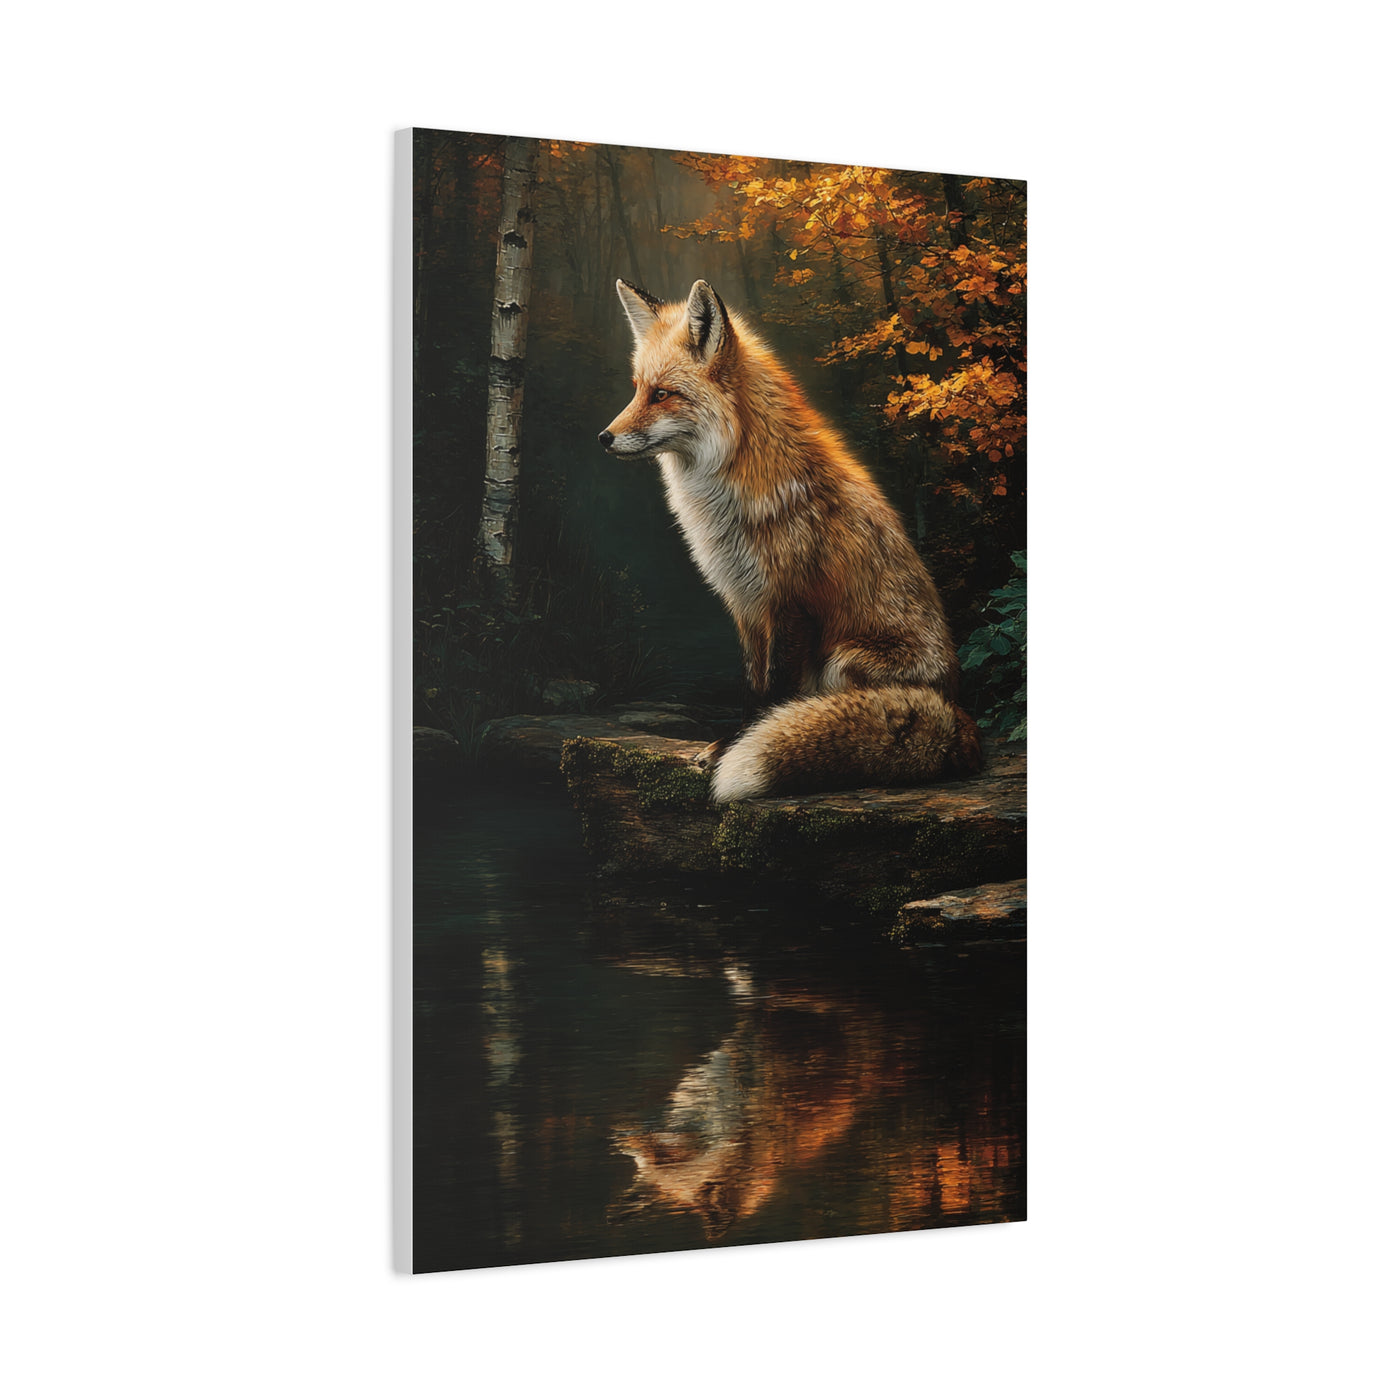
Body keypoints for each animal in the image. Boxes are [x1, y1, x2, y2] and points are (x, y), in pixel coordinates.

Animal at [600, 277, 982, 802]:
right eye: (639, 390)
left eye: (663, 394)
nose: (604, 437)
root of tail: (957, 714)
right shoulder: (744, 603)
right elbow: (753, 685)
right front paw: (731, 742)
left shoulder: (790, 603)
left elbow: (775, 690)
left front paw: (743, 743)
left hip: (844, 659)